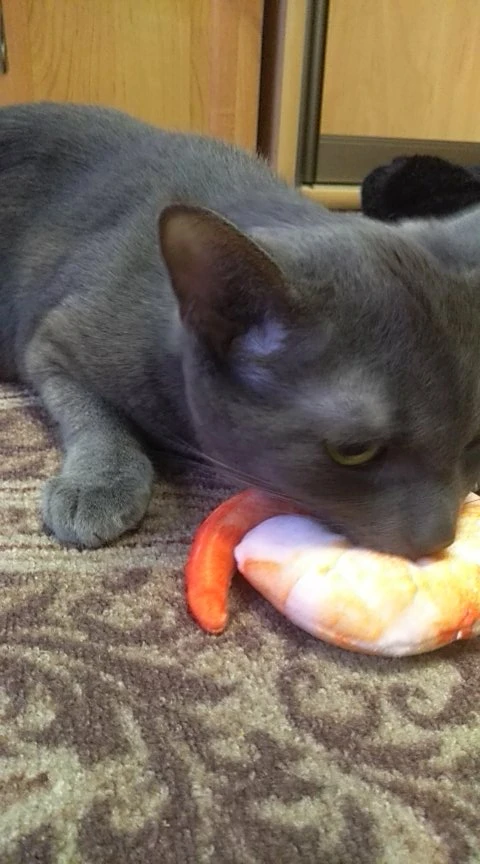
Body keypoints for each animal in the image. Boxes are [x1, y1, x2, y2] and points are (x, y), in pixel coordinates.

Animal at [1, 102, 480, 559]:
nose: (438, 540)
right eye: (353, 450)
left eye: (475, 437)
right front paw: (98, 485)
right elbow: (93, 416)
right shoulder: (51, 341)